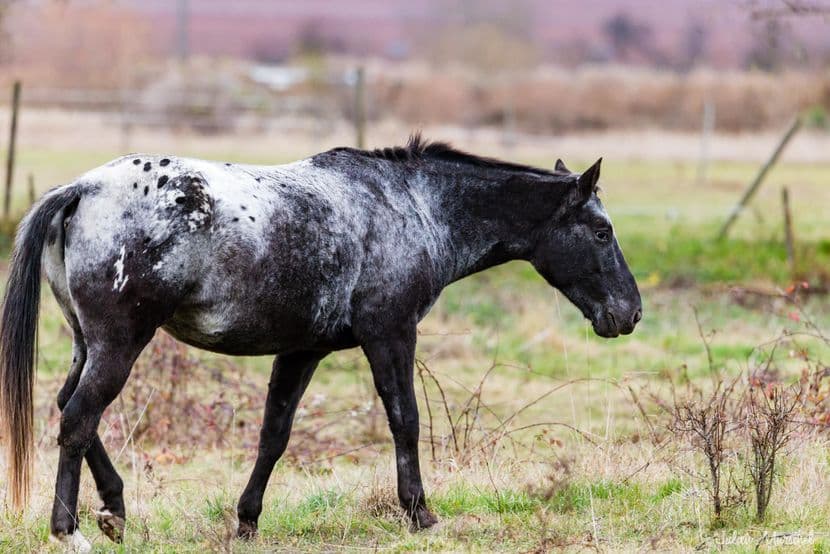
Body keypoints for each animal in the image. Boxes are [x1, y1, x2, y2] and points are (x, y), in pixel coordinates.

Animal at [0, 135, 641, 550]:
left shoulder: (302, 350)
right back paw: (70, 530)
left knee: (69, 408)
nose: (630, 313)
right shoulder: (391, 334)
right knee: (78, 418)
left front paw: (247, 521)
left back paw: (115, 511)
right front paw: (420, 512)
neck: (411, 207)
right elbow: (405, 421)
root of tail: (82, 189)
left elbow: (274, 435)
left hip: (87, 343)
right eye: (601, 230)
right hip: (120, 343)